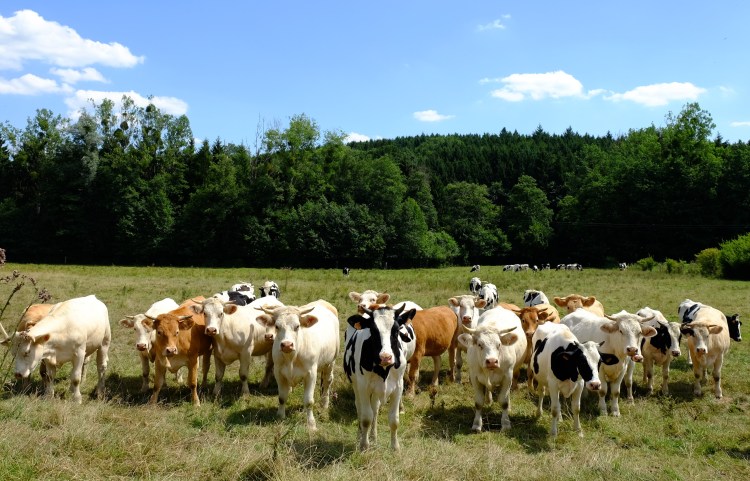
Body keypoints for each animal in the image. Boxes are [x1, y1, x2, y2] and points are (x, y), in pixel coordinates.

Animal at [256, 300, 340, 430]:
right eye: (277, 326)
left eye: (297, 326)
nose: (287, 345)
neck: (292, 357)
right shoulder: (279, 373)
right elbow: (282, 397)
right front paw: (280, 416)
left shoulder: (311, 374)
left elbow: (309, 401)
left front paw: (311, 424)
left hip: (330, 362)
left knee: (327, 381)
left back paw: (324, 403)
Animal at [344, 304, 417, 450]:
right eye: (373, 330)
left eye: (396, 330)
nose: (386, 357)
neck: (384, 370)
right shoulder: (363, 387)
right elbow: (366, 418)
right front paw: (364, 445)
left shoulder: (398, 387)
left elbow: (394, 420)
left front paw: (395, 447)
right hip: (357, 386)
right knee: (360, 409)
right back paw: (360, 436)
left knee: (375, 410)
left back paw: (373, 436)